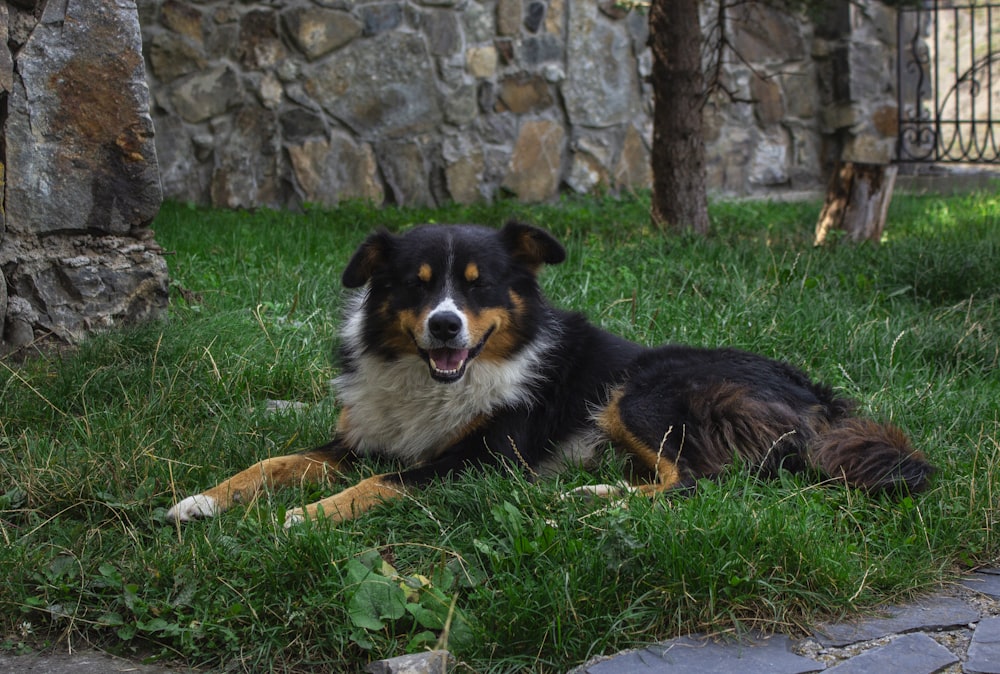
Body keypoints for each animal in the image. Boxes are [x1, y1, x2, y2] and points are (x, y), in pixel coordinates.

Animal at [166, 220, 936, 524]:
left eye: (479, 287)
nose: (444, 326)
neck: (436, 380)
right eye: (416, 286)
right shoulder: (361, 437)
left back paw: (589, 500)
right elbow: (272, 461)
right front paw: (199, 501)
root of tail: (816, 393)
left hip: (643, 390)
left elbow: (382, 484)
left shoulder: (483, 459)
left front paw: (305, 517)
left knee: (699, 483)